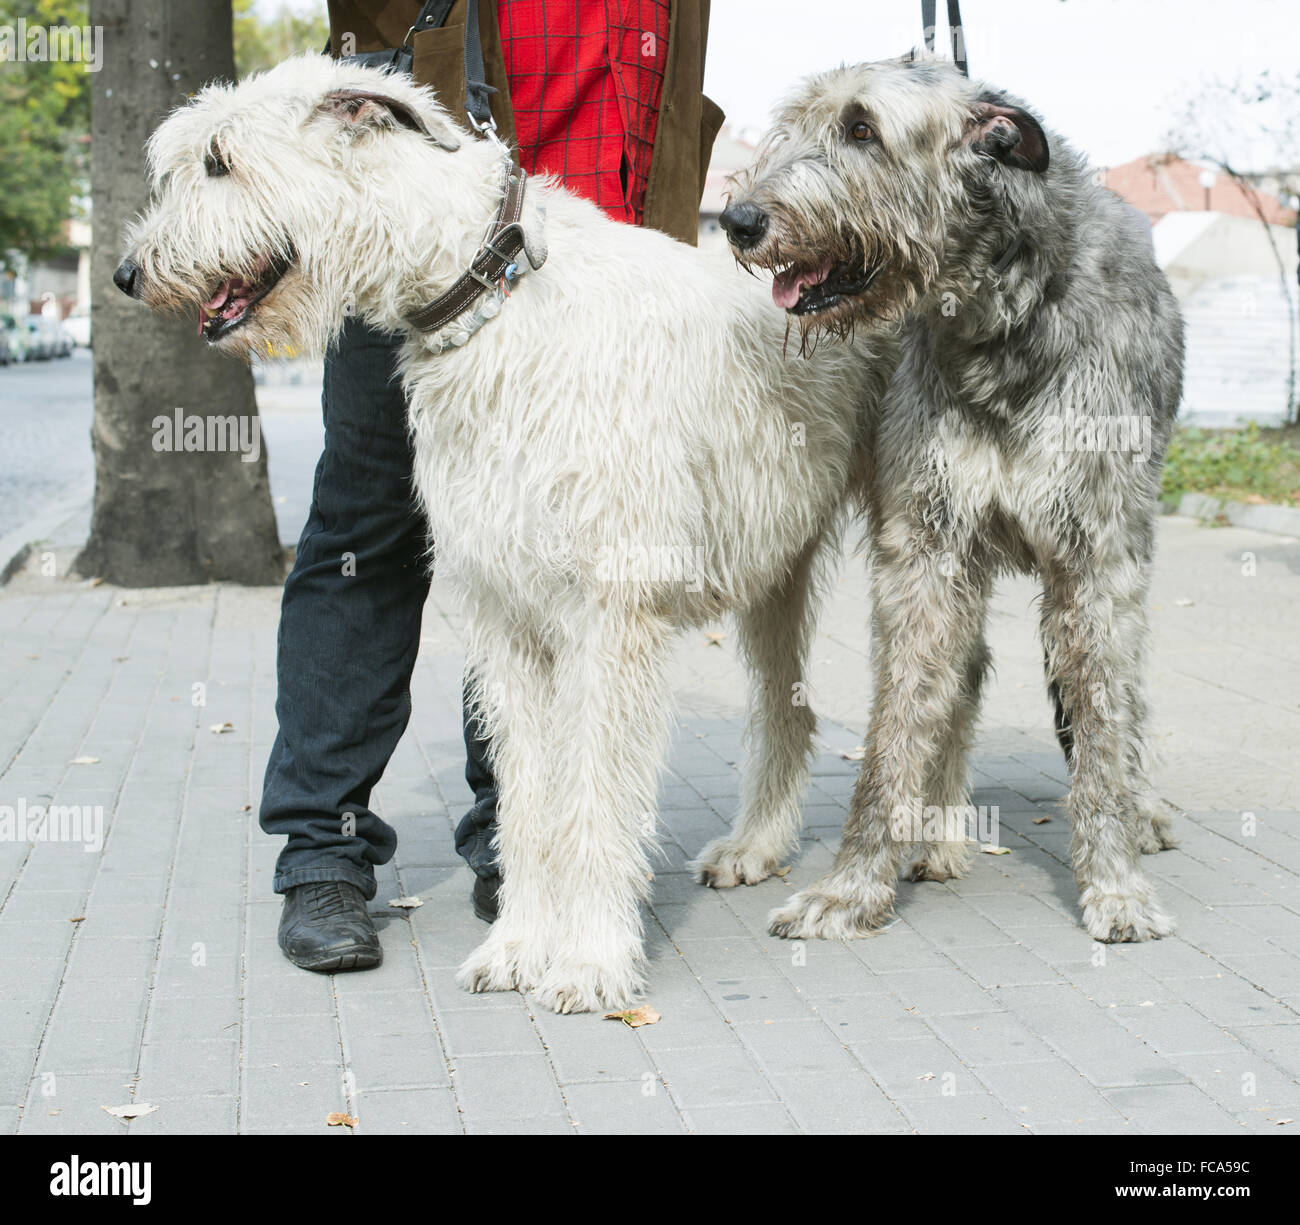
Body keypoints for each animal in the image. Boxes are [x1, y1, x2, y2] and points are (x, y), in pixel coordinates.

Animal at [119, 55, 894, 1014]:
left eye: (220, 161)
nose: (127, 273)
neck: (494, 288)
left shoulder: (611, 613)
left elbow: (594, 795)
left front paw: (592, 959)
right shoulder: (506, 613)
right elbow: (525, 798)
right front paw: (520, 944)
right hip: (775, 555)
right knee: (790, 707)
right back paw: (755, 846)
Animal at [707, 52, 1185, 946]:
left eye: (862, 128)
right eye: (796, 124)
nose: (740, 219)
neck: (1003, 321)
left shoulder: (1095, 557)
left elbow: (1103, 725)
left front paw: (1115, 884)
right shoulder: (926, 544)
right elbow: (896, 726)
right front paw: (852, 886)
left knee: (1121, 689)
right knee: (918, 679)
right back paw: (878, 834)